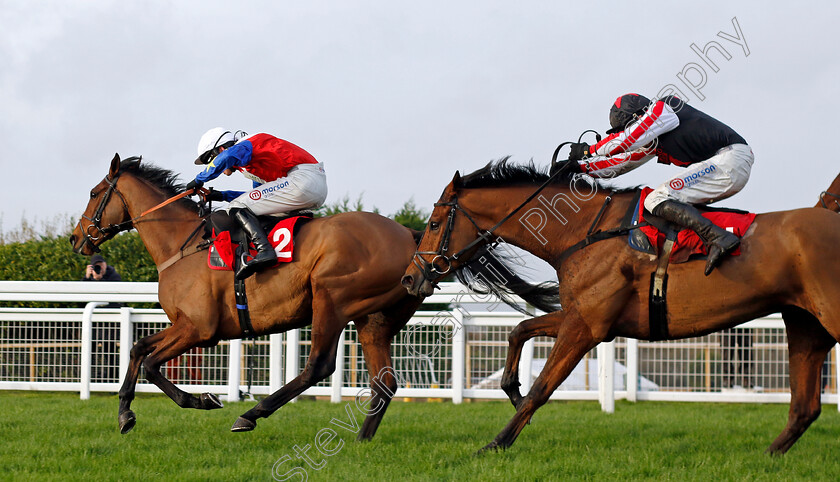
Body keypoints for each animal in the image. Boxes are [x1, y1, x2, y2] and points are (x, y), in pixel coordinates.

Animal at [402, 159, 840, 456]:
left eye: (435, 222)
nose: (410, 278)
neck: (581, 230)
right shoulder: (584, 315)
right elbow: (520, 331)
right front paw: (511, 388)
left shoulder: (587, 327)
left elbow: (543, 388)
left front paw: (496, 442)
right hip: (805, 324)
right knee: (805, 407)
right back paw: (770, 455)